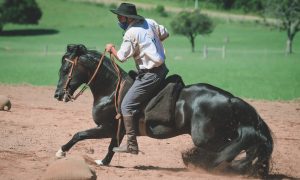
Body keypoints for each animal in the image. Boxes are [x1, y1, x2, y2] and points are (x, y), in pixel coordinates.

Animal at [54, 44, 274, 177]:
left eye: (65, 70)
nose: (57, 94)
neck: (112, 90)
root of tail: (230, 99)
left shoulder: (106, 127)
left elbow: (79, 134)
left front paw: (61, 151)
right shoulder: (118, 130)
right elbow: (111, 147)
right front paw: (103, 161)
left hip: (206, 138)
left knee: (235, 147)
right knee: (247, 145)